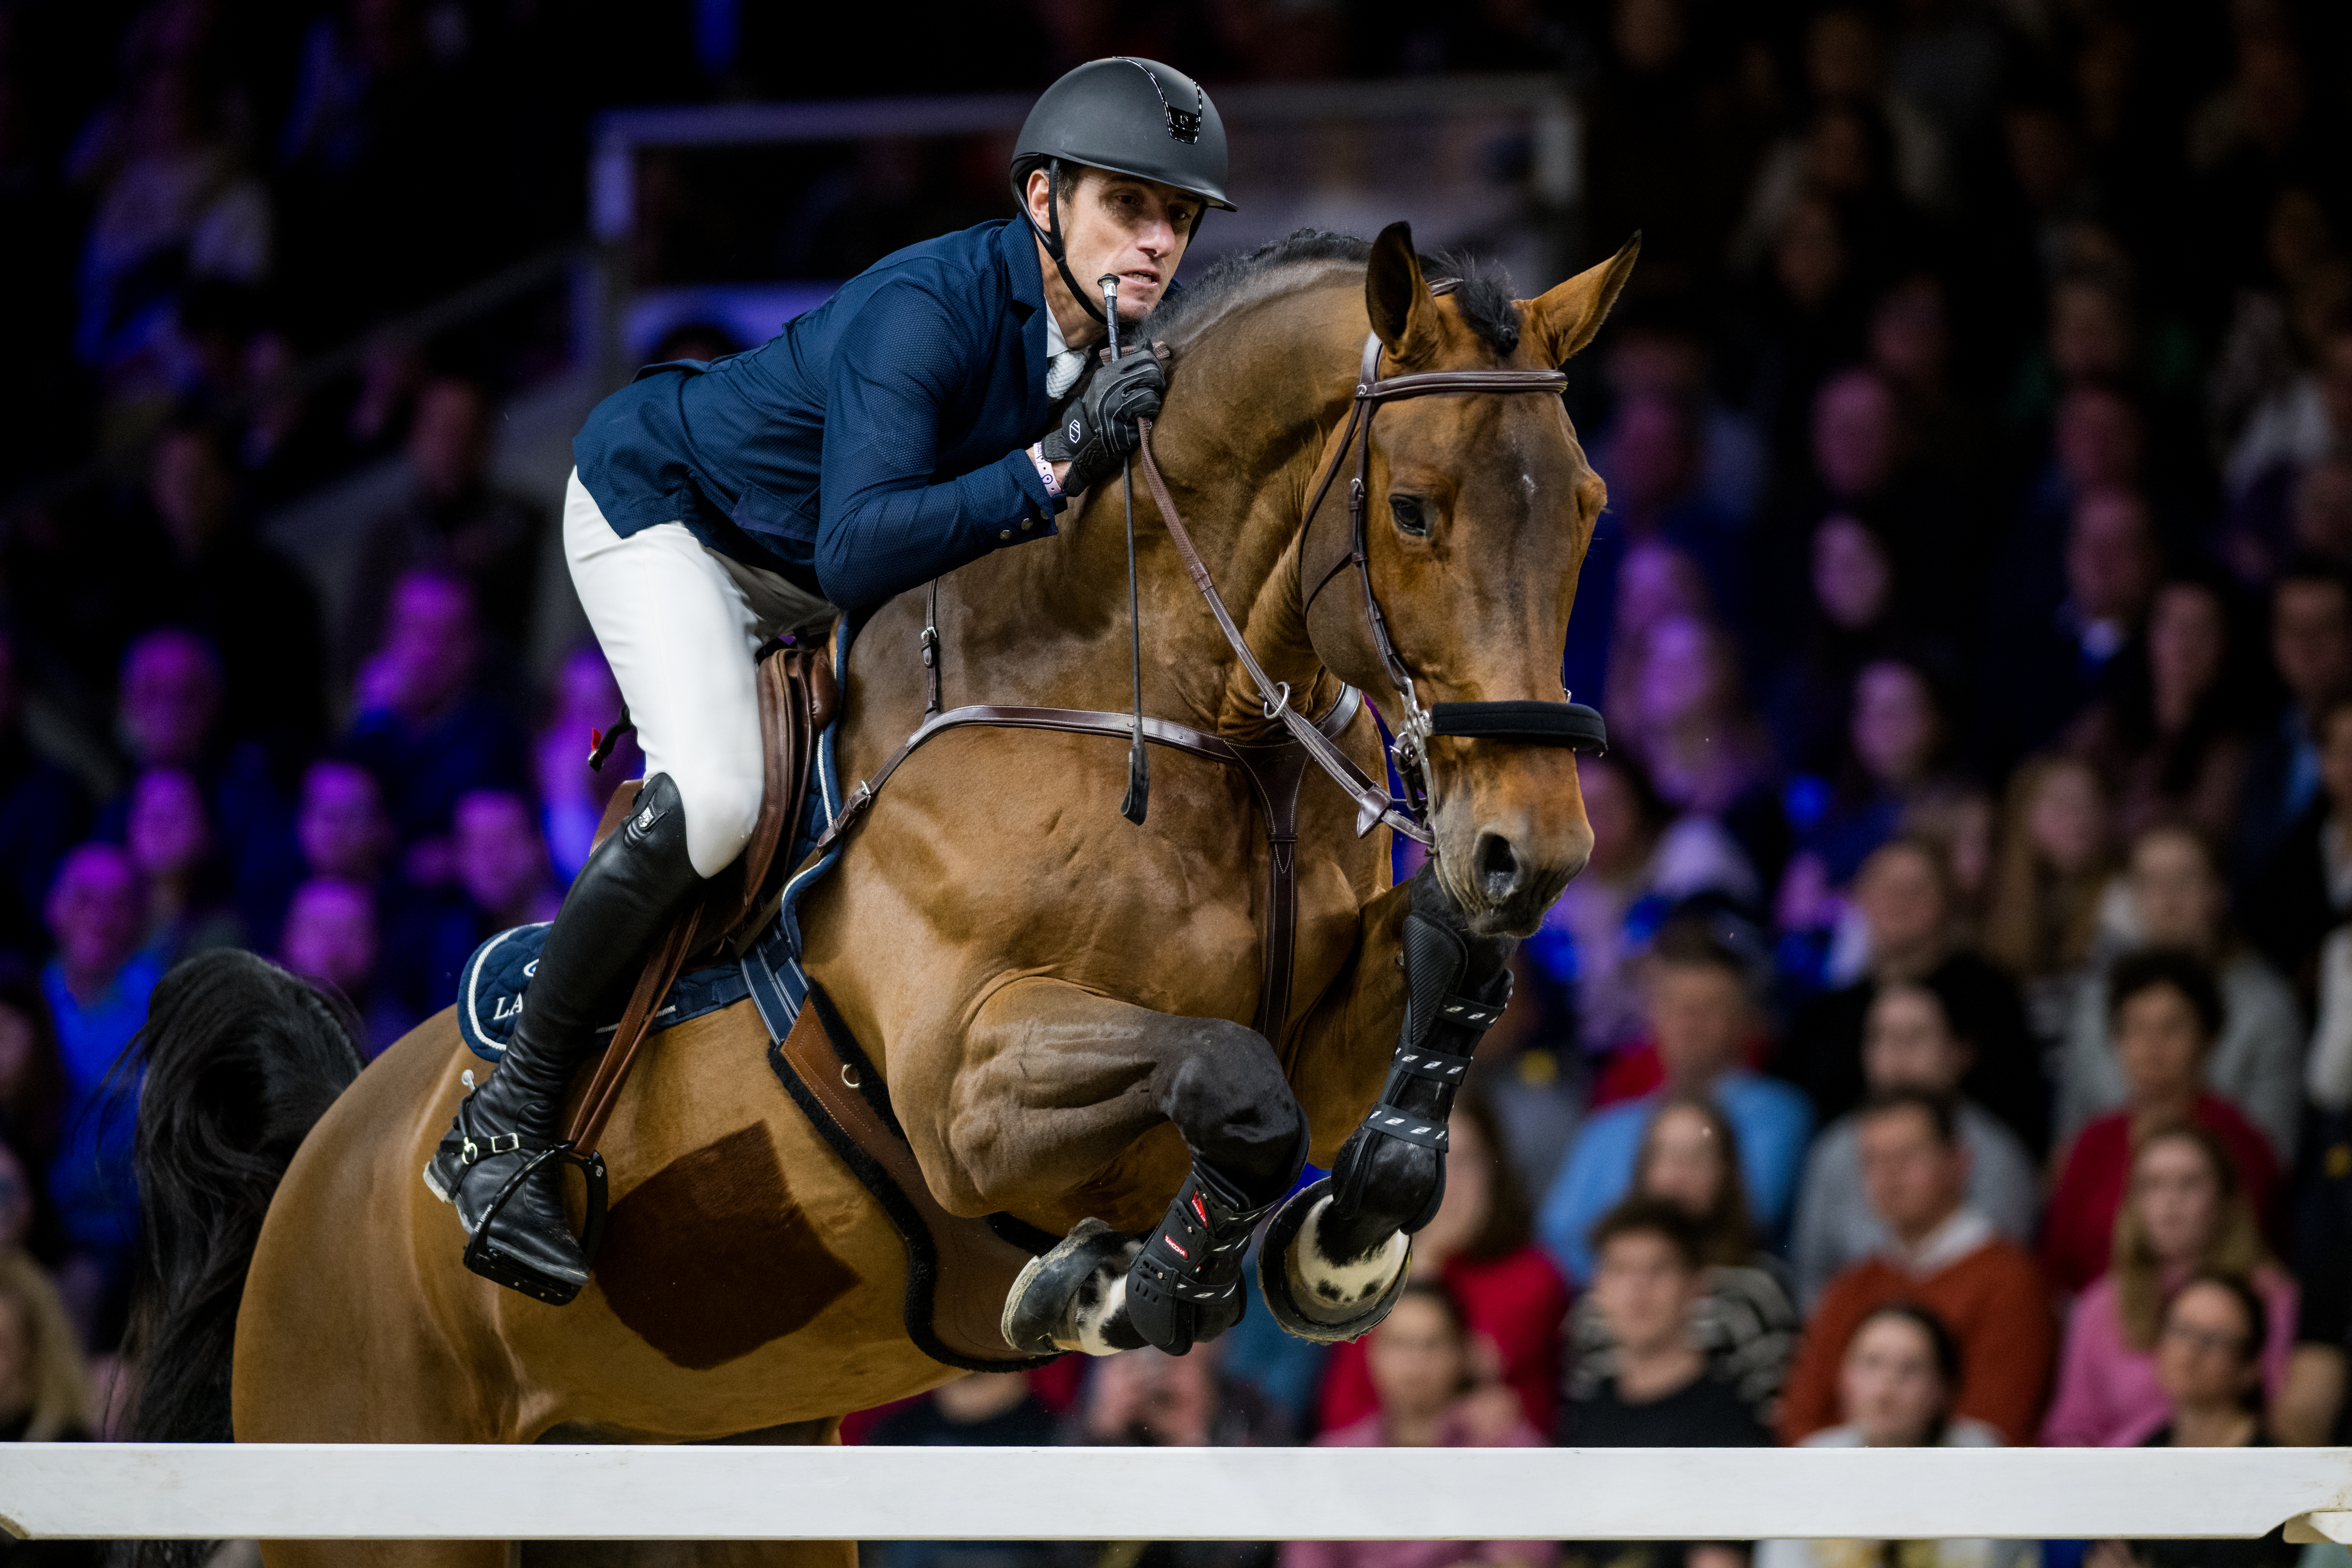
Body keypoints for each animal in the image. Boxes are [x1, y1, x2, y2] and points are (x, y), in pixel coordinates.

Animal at [124, 221, 1637, 1568]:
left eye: (1586, 509)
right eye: (1413, 508)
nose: (1536, 849)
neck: (1189, 723)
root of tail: (319, 1166)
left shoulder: (1325, 1024)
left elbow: (1433, 980)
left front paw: (1343, 1238)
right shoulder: (962, 1085)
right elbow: (1230, 1079)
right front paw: (1121, 1284)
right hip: (390, 1497)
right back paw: (505, 1176)